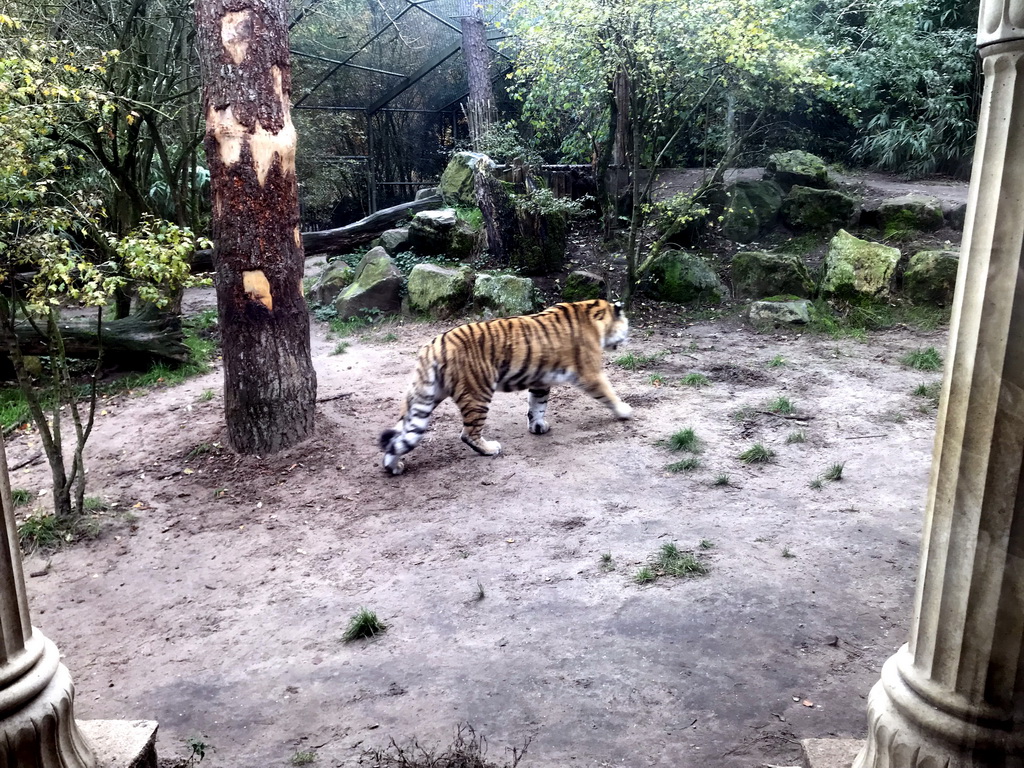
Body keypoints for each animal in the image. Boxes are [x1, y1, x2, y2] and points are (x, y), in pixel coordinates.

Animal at [378, 299, 630, 475]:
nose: (626, 340)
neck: (594, 314)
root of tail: (433, 345)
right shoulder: (590, 373)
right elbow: (609, 393)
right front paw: (625, 411)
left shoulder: (540, 379)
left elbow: (537, 404)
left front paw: (537, 426)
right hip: (478, 393)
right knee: (468, 433)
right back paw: (490, 449)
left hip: (424, 397)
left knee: (398, 436)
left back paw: (393, 467)